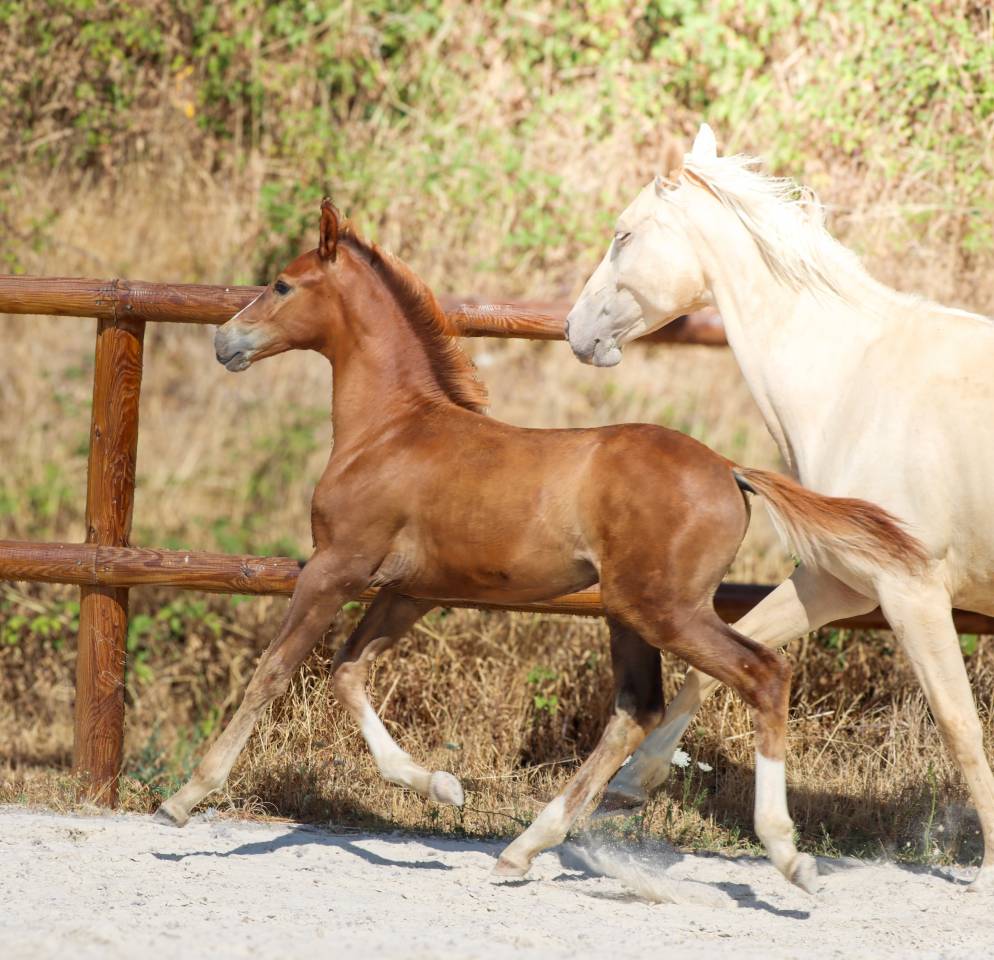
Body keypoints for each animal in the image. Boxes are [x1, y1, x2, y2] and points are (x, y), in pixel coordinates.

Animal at [155, 199, 924, 892]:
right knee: (635, 709)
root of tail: (730, 470)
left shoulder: (335, 569)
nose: (225, 342)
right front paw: (441, 786)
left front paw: (185, 799)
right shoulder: (412, 590)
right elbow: (347, 674)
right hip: (627, 610)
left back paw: (788, 854)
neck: (392, 431)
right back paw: (524, 847)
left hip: (663, 608)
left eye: (283, 284)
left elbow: (273, 672)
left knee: (761, 674)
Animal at [565, 123, 994, 892]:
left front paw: (990, 870)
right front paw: (631, 787)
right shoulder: (838, 582)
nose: (574, 330)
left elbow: (958, 724)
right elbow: (725, 661)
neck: (853, 381)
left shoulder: (912, 591)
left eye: (623, 234)